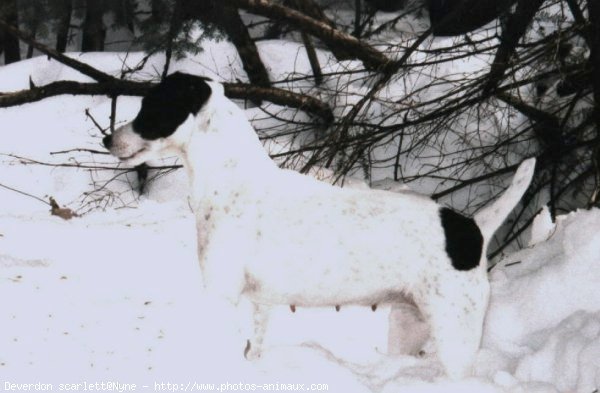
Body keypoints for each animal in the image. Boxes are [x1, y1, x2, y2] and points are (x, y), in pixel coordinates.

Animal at [103, 72, 536, 378]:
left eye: (149, 108)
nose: (107, 139)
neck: (232, 177)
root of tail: (472, 228)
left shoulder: (220, 293)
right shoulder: (259, 305)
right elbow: (253, 348)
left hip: (454, 332)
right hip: (408, 326)